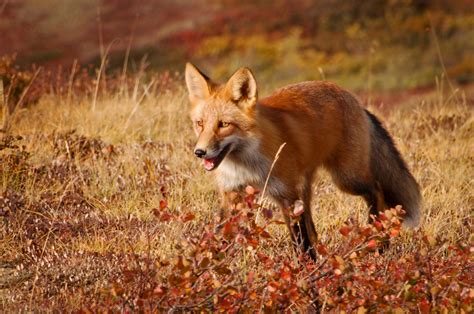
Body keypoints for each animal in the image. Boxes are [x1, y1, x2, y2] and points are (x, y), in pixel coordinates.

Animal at [185, 63, 422, 258]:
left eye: (224, 125)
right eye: (200, 124)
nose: (200, 152)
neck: (245, 164)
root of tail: (355, 100)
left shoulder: (287, 195)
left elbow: (300, 242)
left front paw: (305, 274)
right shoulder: (232, 194)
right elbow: (219, 233)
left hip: (347, 178)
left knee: (376, 190)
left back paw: (378, 238)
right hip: (309, 184)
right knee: (313, 225)